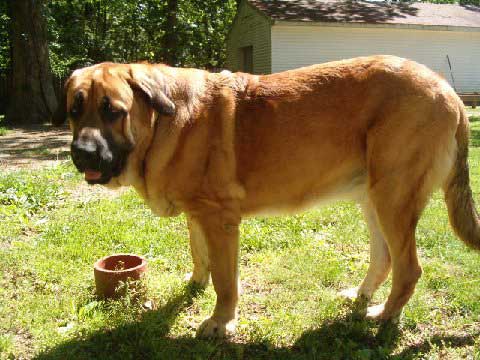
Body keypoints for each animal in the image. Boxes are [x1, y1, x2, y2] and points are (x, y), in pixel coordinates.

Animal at [53, 55, 480, 338]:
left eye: (113, 111)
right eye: (75, 110)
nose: (82, 153)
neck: (162, 124)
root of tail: (449, 92)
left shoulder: (220, 220)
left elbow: (226, 281)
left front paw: (220, 322)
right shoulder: (198, 215)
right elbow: (199, 256)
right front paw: (194, 285)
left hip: (393, 197)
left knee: (409, 268)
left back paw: (383, 316)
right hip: (373, 198)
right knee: (385, 257)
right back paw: (361, 296)